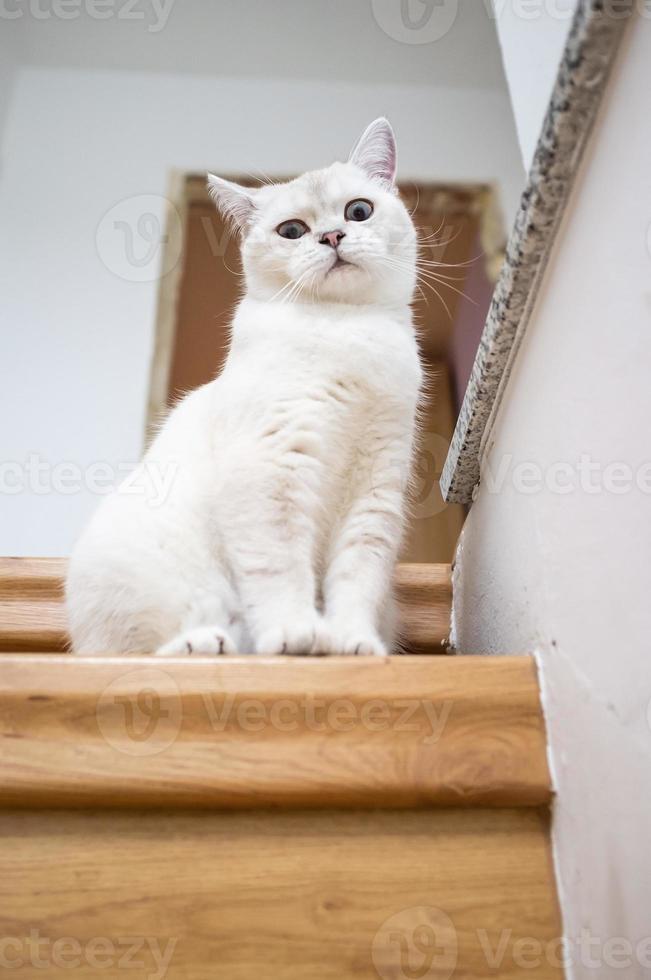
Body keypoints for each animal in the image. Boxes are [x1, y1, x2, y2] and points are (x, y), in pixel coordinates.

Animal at [66, 120, 422, 660]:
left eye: (358, 211)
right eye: (292, 231)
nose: (332, 235)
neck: (347, 331)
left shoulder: (375, 488)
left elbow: (358, 576)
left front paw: (352, 641)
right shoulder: (270, 465)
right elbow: (279, 566)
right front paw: (297, 634)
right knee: (129, 652)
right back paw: (205, 643)